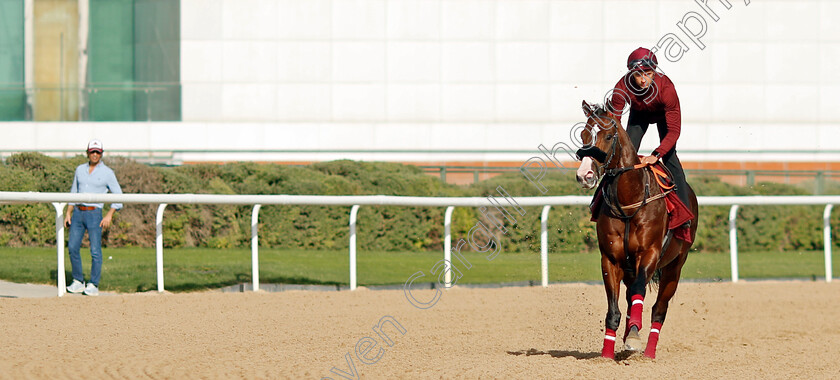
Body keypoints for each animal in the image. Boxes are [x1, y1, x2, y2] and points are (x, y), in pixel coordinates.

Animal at [576, 100, 700, 360]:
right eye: (583, 135)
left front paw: (634, 336)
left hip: (675, 265)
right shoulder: (611, 259)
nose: (585, 175)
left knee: (658, 309)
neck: (628, 202)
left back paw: (649, 353)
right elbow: (614, 310)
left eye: (608, 135)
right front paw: (607, 354)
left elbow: (639, 292)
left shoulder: (649, 253)